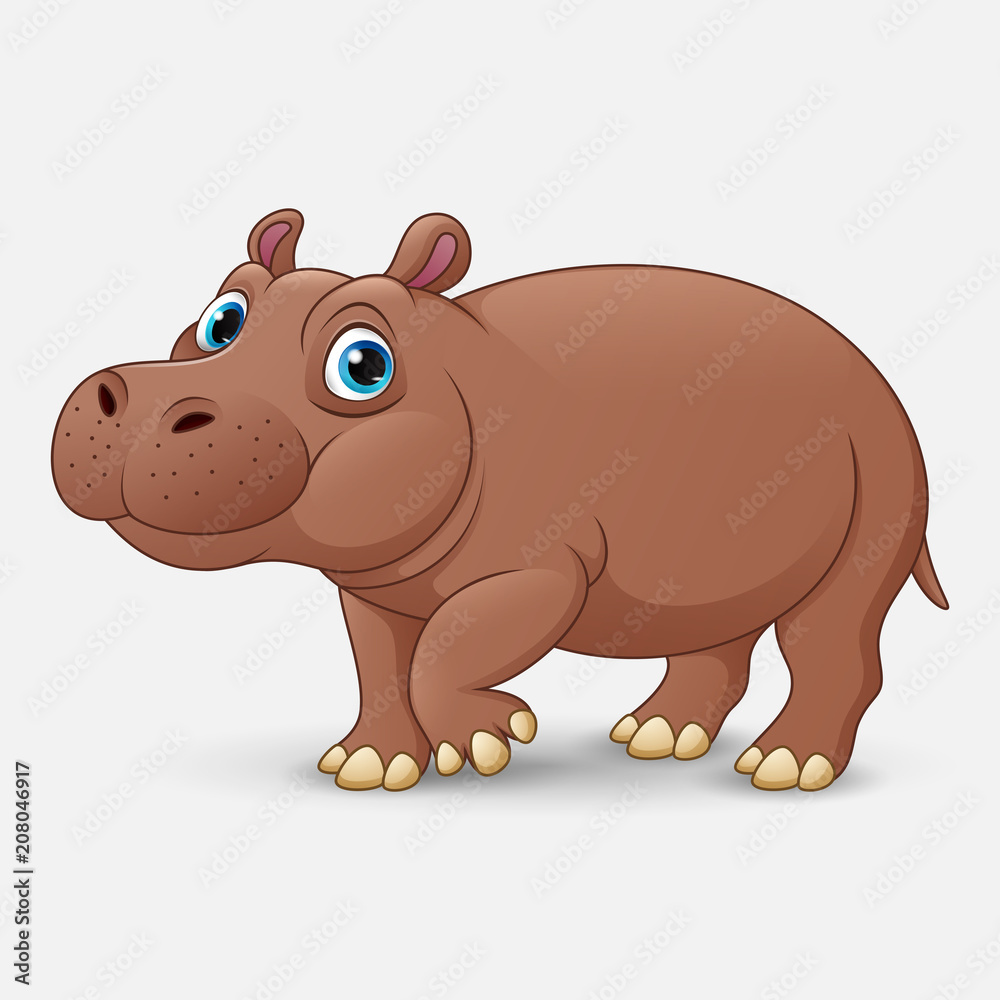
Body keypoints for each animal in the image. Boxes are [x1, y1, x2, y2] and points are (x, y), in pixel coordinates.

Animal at [52, 208, 948, 793]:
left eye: (362, 365)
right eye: (220, 320)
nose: (126, 398)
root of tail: (883, 380)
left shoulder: (536, 572)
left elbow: (446, 650)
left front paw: (490, 742)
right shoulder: (371, 587)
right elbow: (379, 667)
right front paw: (369, 767)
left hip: (880, 492)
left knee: (830, 636)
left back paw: (786, 770)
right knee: (712, 636)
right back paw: (657, 739)